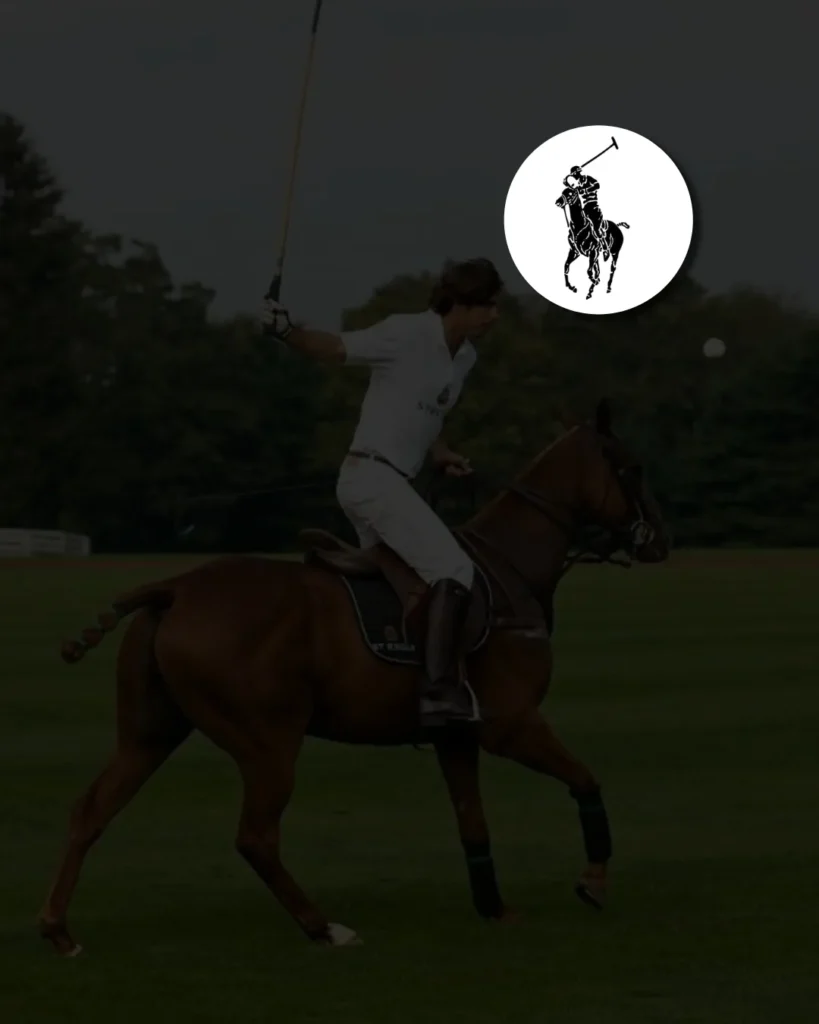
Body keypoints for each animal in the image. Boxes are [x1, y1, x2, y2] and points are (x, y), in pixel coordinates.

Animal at [38, 400, 670, 954]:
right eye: (633, 467)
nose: (660, 542)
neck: (510, 568)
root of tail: (173, 588)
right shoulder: (511, 724)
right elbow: (585, 780)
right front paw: (592, 881)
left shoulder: (457, 735)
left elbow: (473, 822)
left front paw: (494, 908)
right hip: (267, 741)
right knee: (256, 837)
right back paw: (325, 928)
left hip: (151, 732)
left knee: (91, 810)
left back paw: (59, 931)